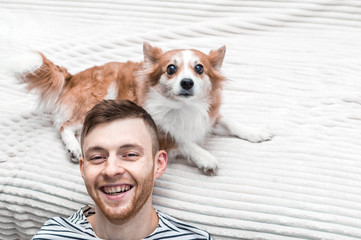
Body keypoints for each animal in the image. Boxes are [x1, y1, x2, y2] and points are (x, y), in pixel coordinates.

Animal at [16, 43, 270, 173]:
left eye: (199, 69)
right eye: (170, 69)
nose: (187, 82)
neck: (183, 107)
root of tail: (73, 76)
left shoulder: (209, 116)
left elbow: (230, 122)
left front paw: (255, 132)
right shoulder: (158, 131)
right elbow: (182, 140)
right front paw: (205, 157)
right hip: (97, 102)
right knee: (64, 126)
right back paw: (74, 148)